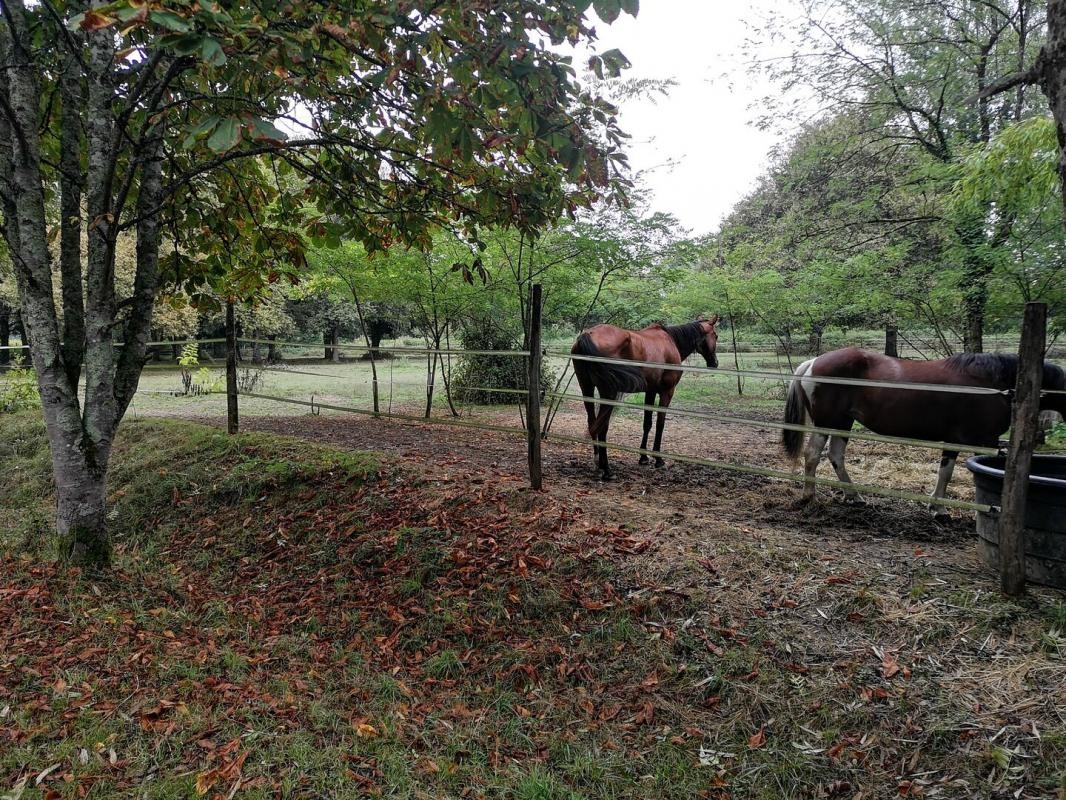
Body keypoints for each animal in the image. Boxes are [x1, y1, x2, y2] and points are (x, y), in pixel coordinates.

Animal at [571, 317, 720, 482]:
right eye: (716, 336)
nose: (715, 363)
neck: (671, 340)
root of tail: (587, 335)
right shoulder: (667, 392)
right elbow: (660, 424)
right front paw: (658, 459)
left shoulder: (650, 391)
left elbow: (647, 423)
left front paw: (643, 457)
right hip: (608, 393)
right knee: (602, 426)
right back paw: (607, 470)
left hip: (587, 388)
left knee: (592, 423)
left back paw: (597, 463)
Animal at [784, 347, 1066, 516]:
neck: (994, 385)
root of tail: (813, 362)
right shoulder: (966, 441)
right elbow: (946, 473)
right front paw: (939, 508)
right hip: (828, 423)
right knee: (813, 455)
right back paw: (809, 495)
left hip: (843, 423)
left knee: (836, 456)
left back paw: (854, 495)